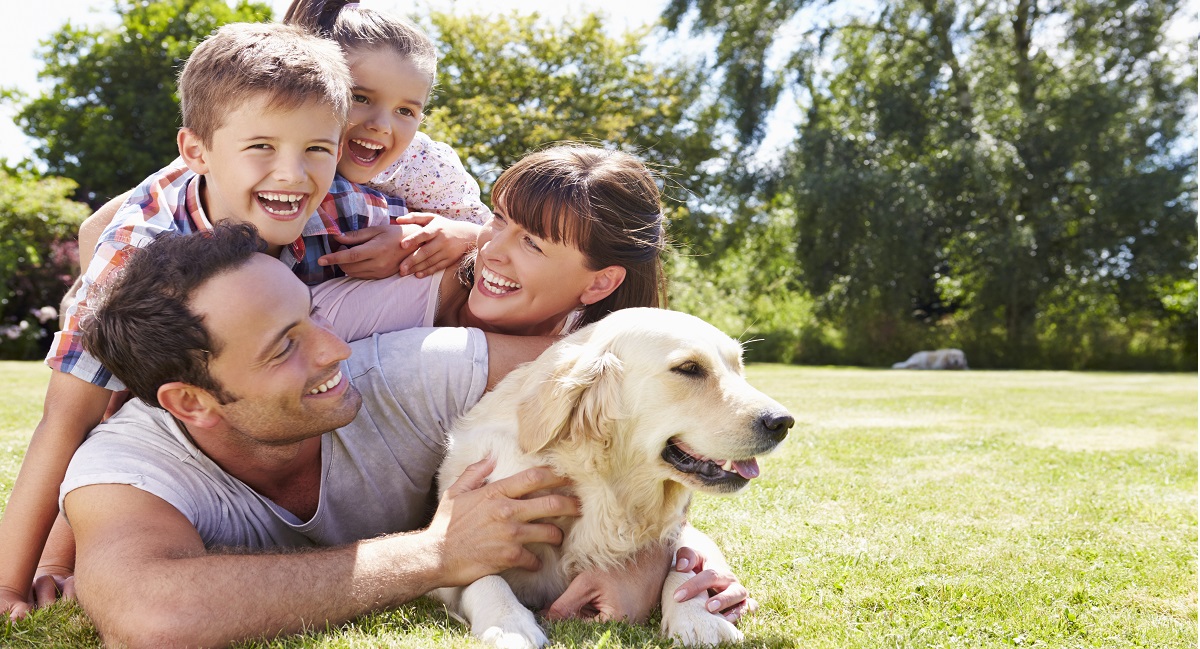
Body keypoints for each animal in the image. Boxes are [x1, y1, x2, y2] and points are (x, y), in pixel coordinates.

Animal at [434, 305, 796, 643]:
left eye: (738, 367)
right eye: (689, 368)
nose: (783, 422)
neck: (600, 488)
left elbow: (683, 562)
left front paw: (700, 618)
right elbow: (482, 574)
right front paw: (509, 625)